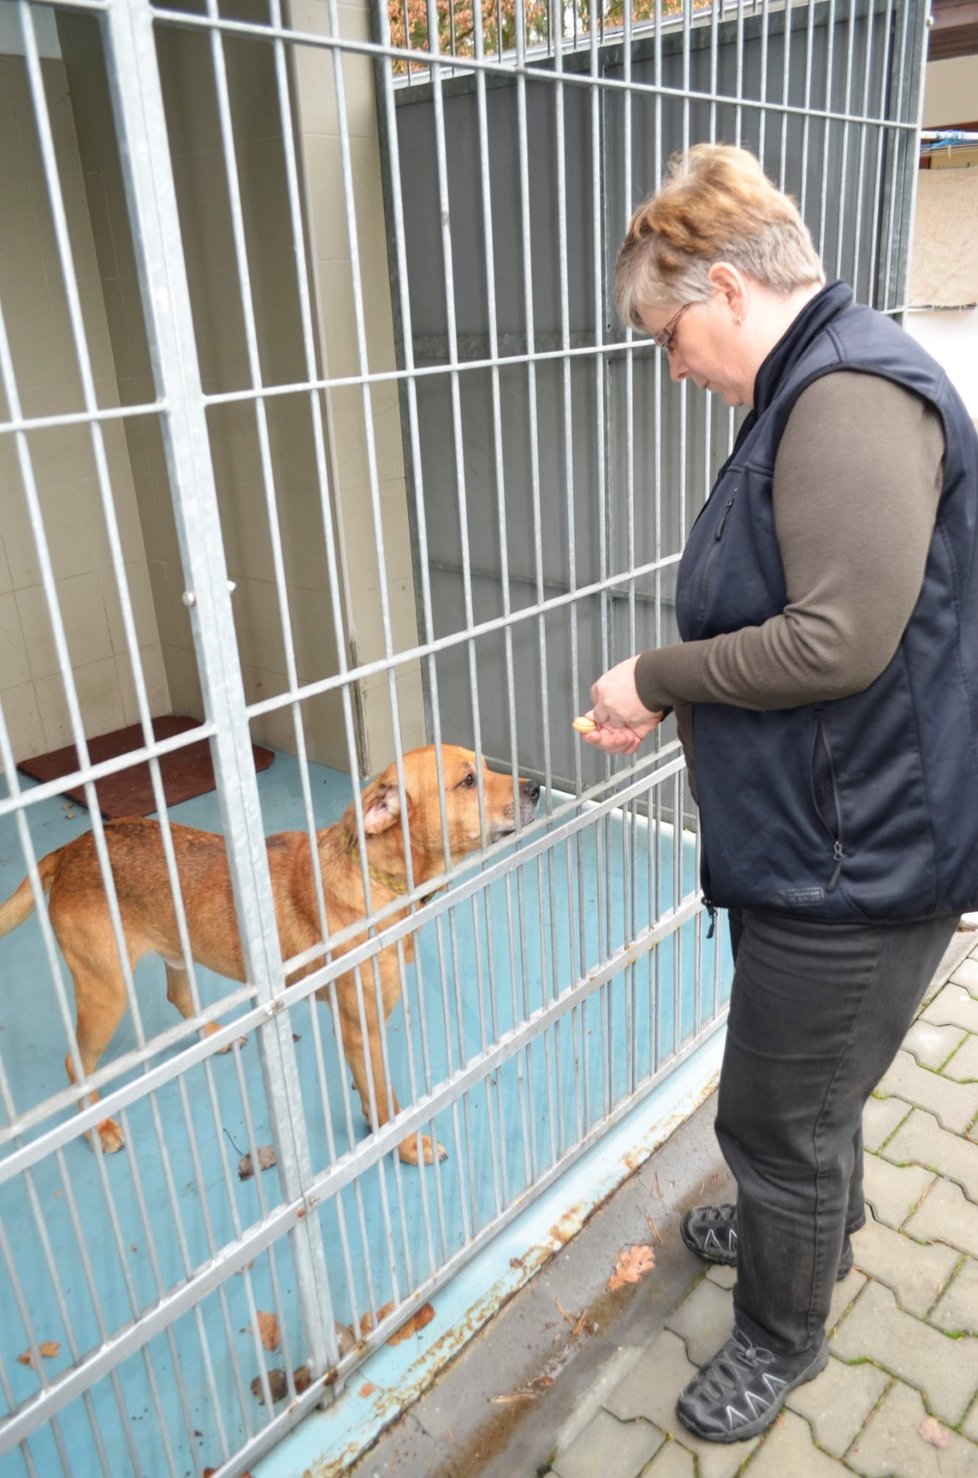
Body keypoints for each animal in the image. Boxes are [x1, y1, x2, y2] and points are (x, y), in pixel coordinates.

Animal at [0, 750, 540, 1164]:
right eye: (468, 781)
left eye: (484, 766)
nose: (535, 788)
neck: (376, 880)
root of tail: (68, 851)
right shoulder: (360, 1028)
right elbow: (387, 1099)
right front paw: (405, 1146)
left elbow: (372, 1091)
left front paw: (373, 1122)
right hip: (106, 991)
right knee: (76, 1066)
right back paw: (100, 1128)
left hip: (174, 951)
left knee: (178, 996)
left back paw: (212, 1036)